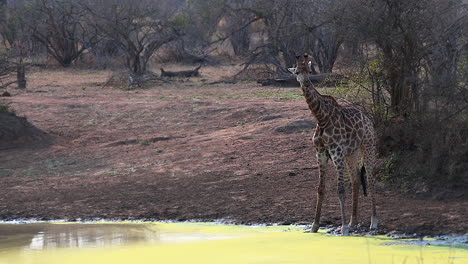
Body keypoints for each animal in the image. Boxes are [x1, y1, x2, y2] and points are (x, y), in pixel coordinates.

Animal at [290, 53, 378, 235]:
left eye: (309, 70)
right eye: (297, 71)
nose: (306, 83)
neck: (321, 118)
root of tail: (368, 120)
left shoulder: (336, 152)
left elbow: (340, 189)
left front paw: (343, 228)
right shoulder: (320, 153)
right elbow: (320, 189)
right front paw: (314, 226)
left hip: (368, 146)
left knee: (370, 178)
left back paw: (373, 221)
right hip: (352, 153)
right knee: (356, 179)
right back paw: (353, 221)